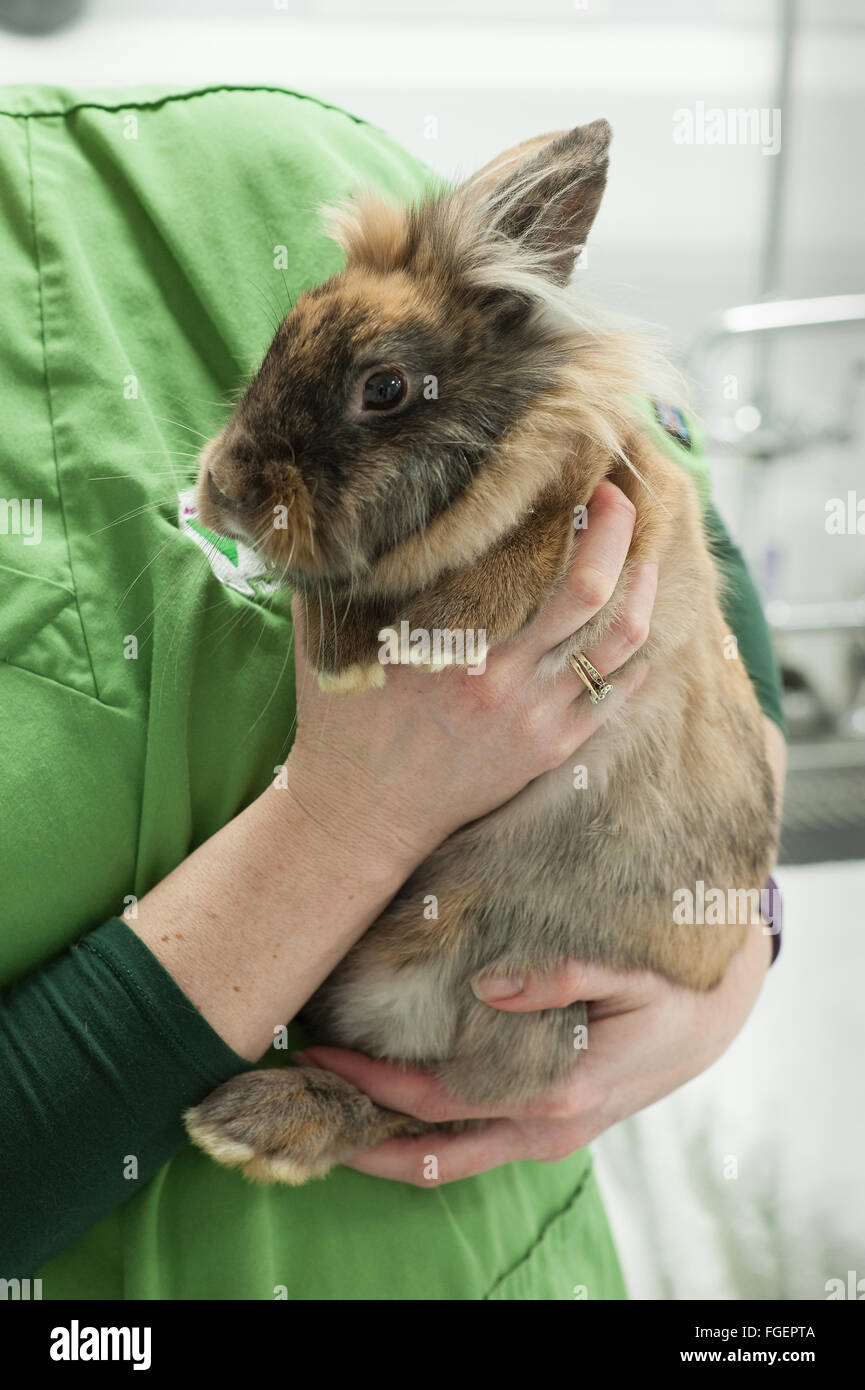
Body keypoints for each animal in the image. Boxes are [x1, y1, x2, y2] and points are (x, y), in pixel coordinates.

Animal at [183, 120, 778, 1185]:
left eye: (383, 388)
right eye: (281, 335)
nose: (225, 491)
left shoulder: (610, 497)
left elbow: (536, 536)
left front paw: (421, 635)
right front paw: (342, 653)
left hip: (525, 1011)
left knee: (428, 1110)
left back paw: (259, 1127)